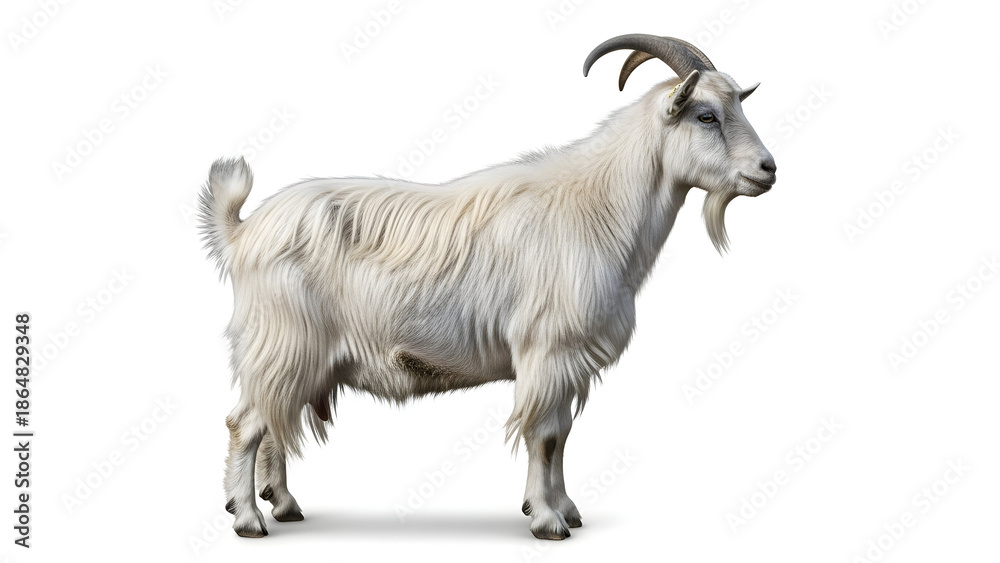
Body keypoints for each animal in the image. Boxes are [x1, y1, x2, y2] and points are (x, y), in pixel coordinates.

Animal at [199, 33, 776, 540]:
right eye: (706, 115)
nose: (768, 169)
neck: (600, 207)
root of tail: (243, 230)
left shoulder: (564, 362)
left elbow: (562, 435)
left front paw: (565, 508)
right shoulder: (547, 350)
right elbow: (544, 434)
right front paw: (547, 520)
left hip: (290, 354)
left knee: (272, 422)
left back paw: (283, 505)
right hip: (284, 343)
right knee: (245, 423)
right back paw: (248, 519)